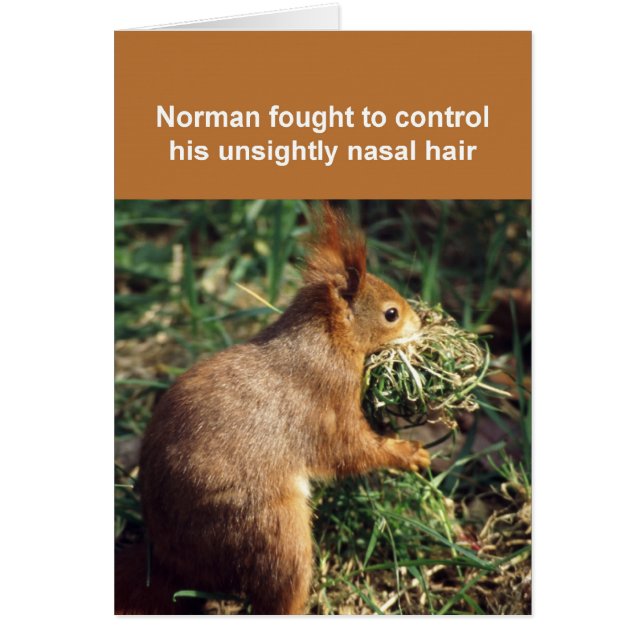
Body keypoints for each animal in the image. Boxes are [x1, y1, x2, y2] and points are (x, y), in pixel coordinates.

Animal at [115, 205, 430, 615]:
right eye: (391, 314)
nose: (420, 323)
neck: (326, 339)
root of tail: (172, 561)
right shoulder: (327, 401)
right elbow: (351, 450)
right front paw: (409, 453)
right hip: (270, 530)